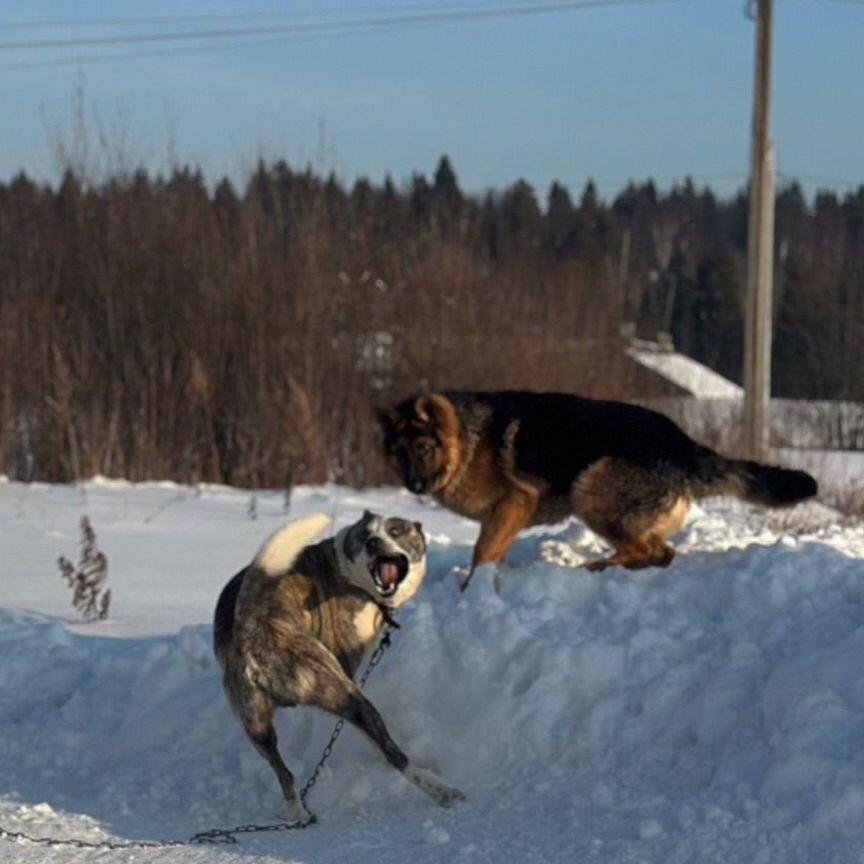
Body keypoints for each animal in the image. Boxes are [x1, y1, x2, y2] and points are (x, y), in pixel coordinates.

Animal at [212, 512, 462, 824]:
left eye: (396, 531)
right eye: (366, 533)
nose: (373, 542)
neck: (352, 575)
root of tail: (250, 629)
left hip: (256, 727)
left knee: (285, 775)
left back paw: (298, 814)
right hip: (348, 695)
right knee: (394, 755)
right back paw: (444, 791)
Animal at [378, 392, 816, 588]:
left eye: (423, 449)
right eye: (399, 454)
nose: (414, 485)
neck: (465, 441)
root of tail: (685, 446)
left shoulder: (513, 504)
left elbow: (482, 552)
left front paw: (472, 588)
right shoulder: (503, 516)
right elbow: (491, 552)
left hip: (590, 491)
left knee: (651, 552)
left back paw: (594, 567)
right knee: (659, 553)